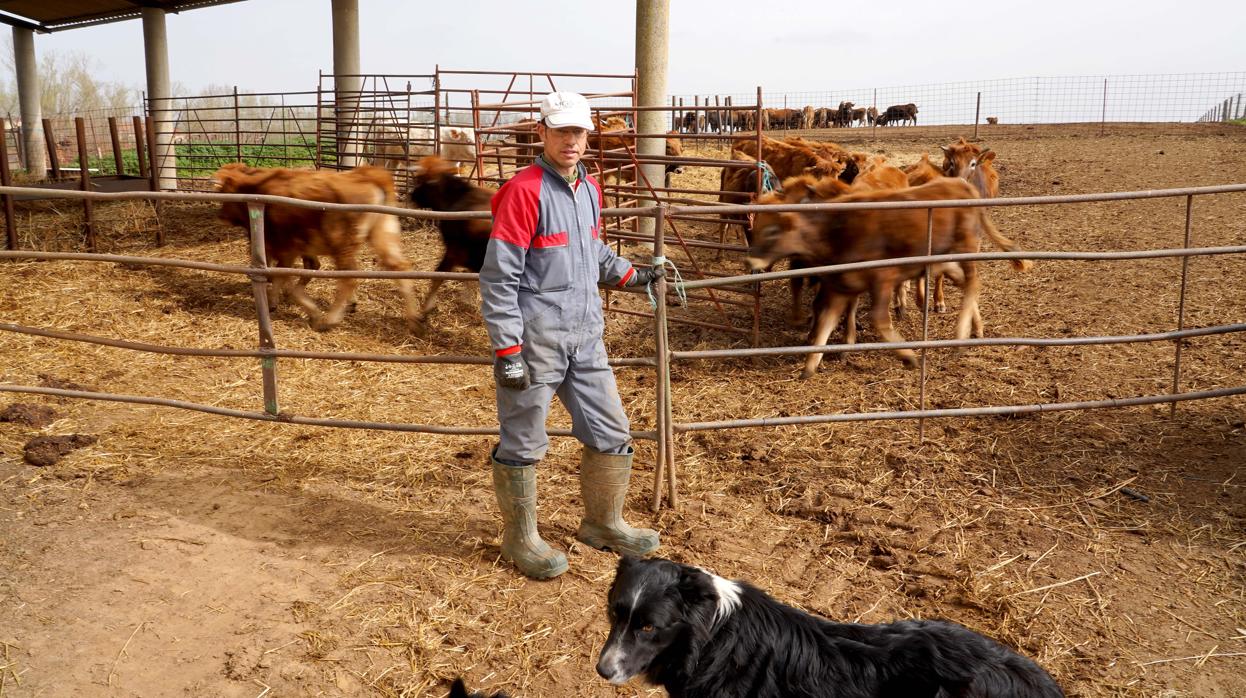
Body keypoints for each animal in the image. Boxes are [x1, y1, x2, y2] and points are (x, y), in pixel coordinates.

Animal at [742, 176, 1026, 378]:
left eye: (772, 231)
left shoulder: (883, 278)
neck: (835, 230)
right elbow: (825, 320)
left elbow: (878, 319)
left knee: (974, 282)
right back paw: (974, 327)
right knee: (966, 282)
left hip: (966, 247)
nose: (749, 261)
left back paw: (960, 332)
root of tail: (961, 184)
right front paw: (810, 364)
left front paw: (907, 356)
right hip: (946, 260)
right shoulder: (840, 287)